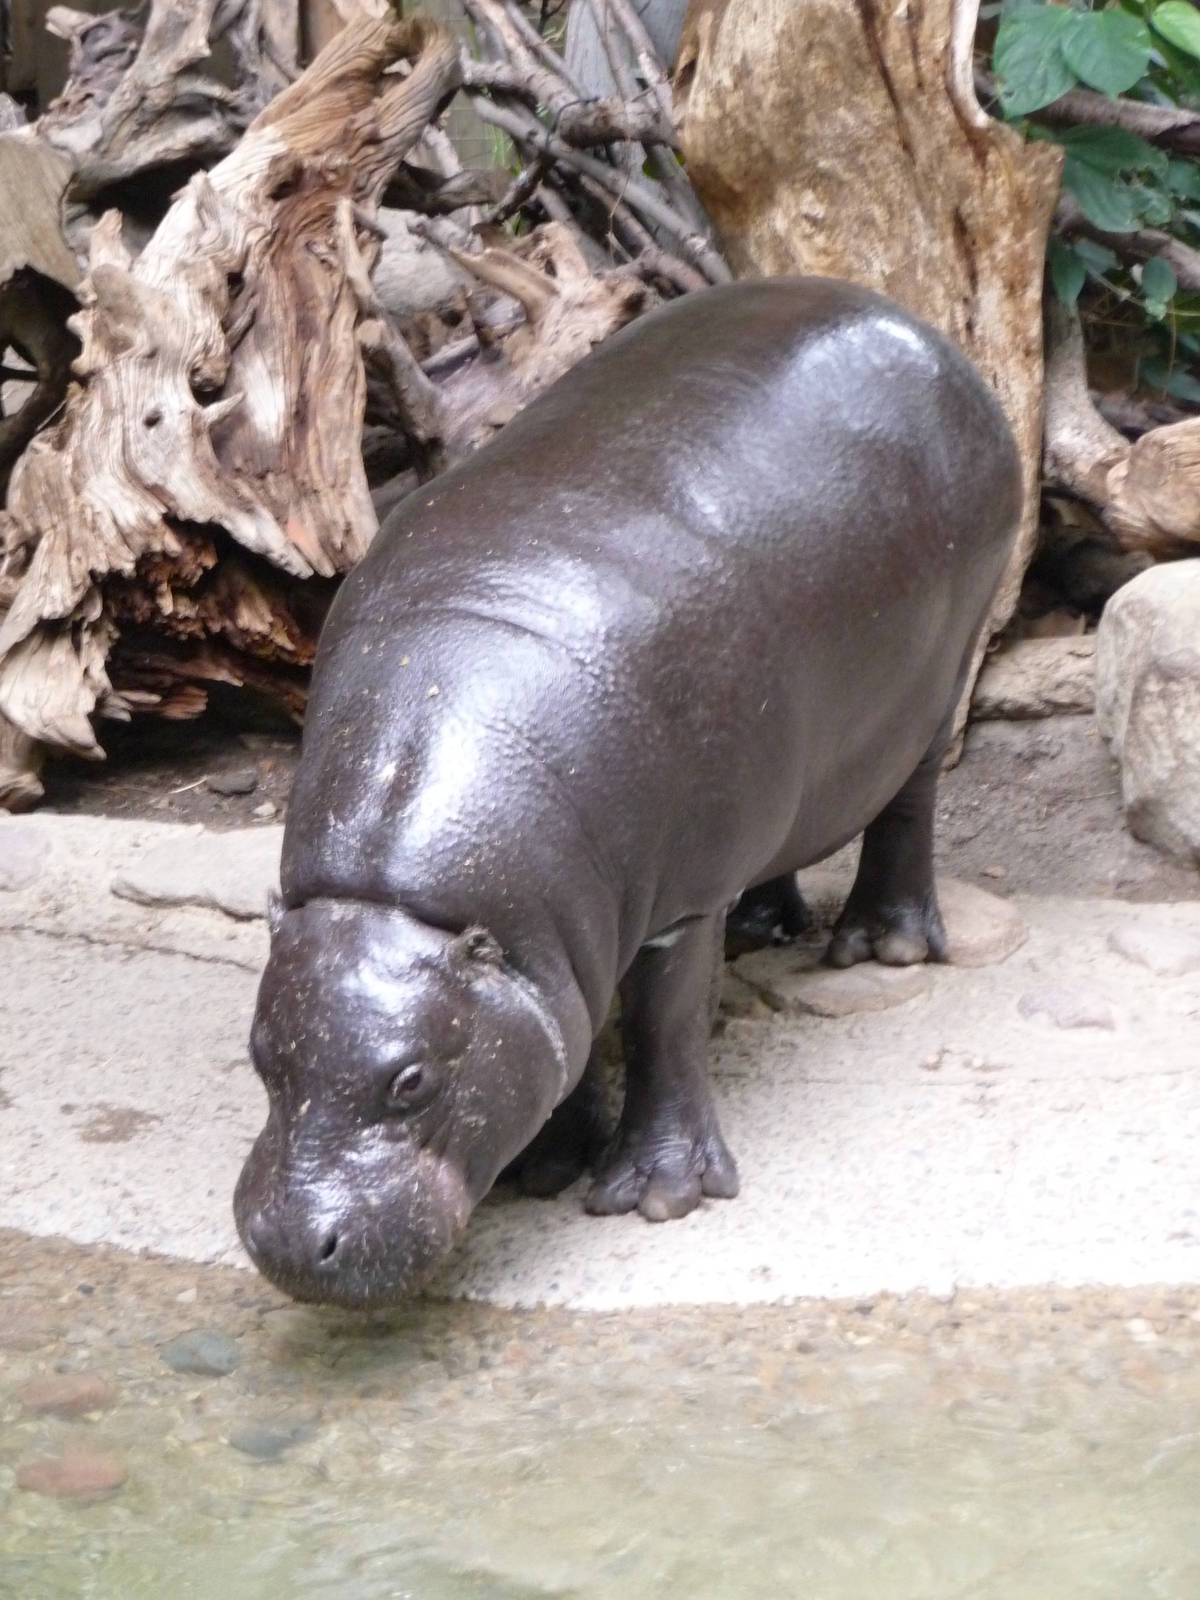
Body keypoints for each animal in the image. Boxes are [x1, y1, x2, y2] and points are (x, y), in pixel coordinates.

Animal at [235, 277, 1021, 1306]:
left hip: (936, 686)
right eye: (261, 1059)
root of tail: (920, 333)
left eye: (411, 1082)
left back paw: (880, 947)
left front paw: (655, 1197)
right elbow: (556, 1036)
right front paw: (543, 1168)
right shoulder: (545, 941)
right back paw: (765, 928)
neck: (410, 900)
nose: (291, 1245)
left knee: (907, 810)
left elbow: (663, 1025)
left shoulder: (673, 908)